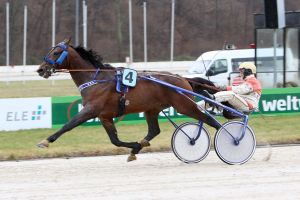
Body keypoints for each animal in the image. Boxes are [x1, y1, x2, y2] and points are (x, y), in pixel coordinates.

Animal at [37, 38, 220, 162]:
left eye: (56, 52)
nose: (40, 69)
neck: (96, 79)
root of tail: (182, 78)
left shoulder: (91, 110)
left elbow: (68, 125)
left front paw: (45, 141)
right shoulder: (105, 116)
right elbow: (115, 140)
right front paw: (136, 147)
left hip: (184, 105)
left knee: (209, 119)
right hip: (152, 109)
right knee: (154, 130)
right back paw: (139, 146)